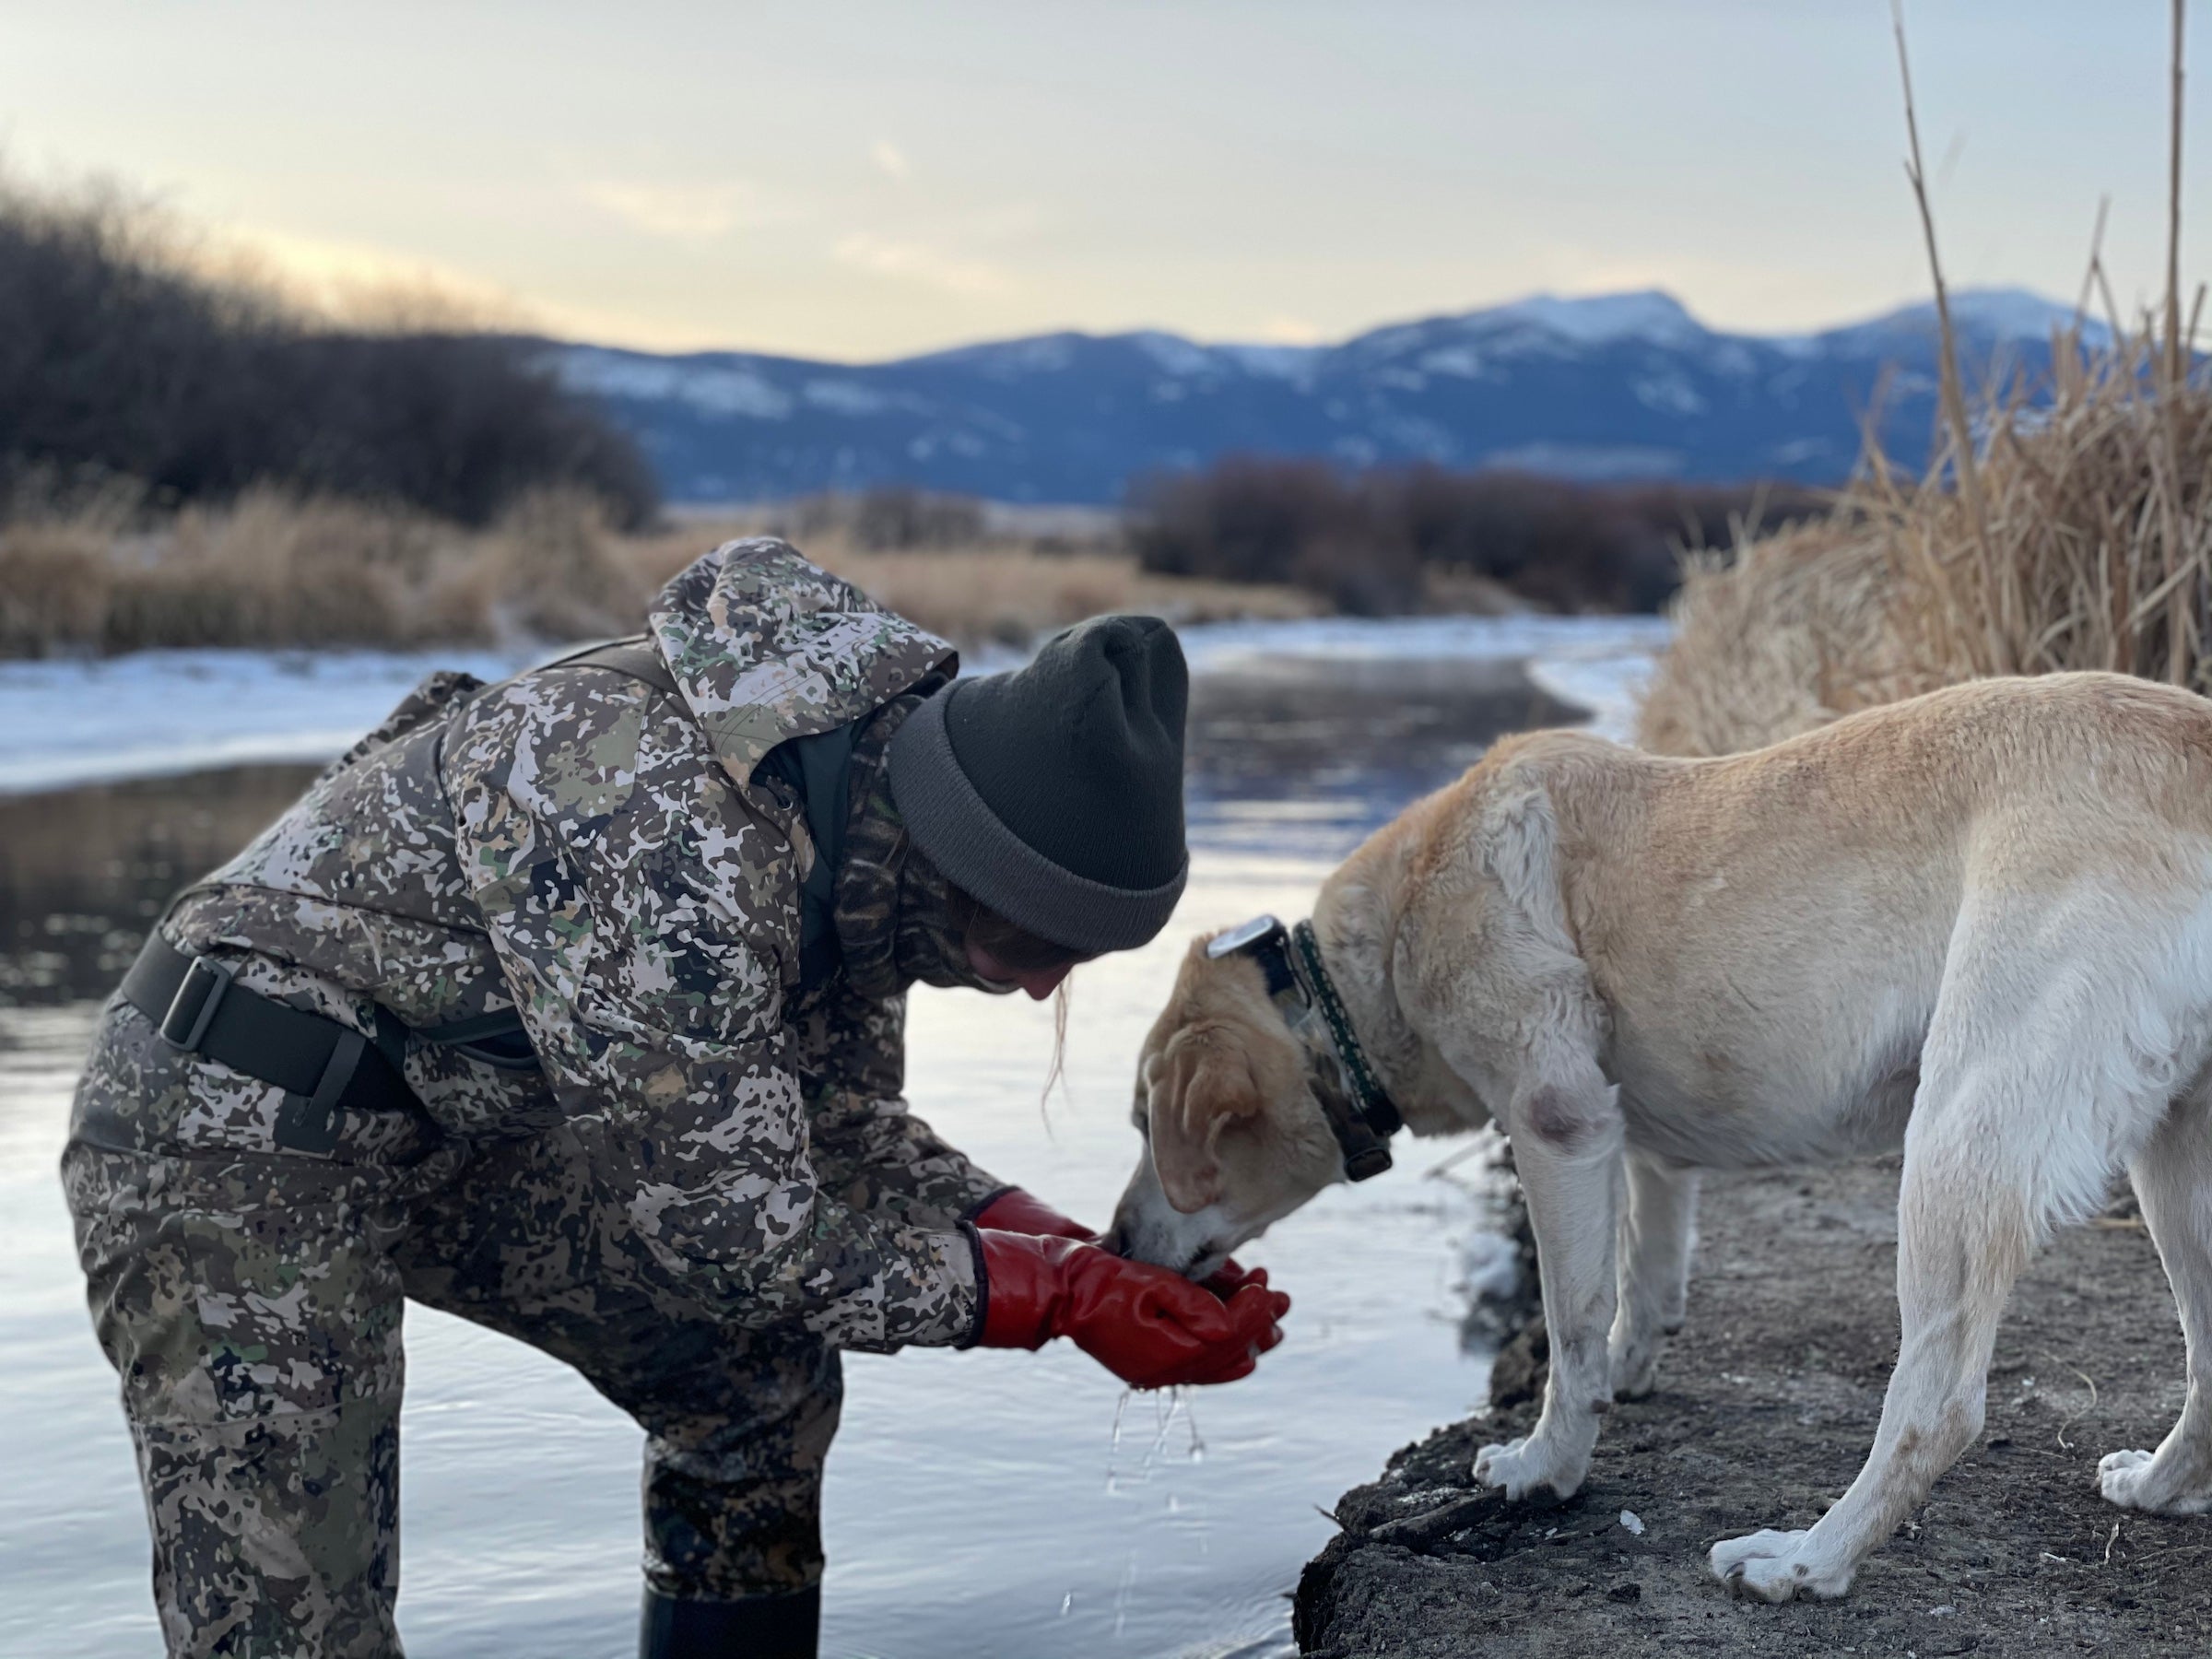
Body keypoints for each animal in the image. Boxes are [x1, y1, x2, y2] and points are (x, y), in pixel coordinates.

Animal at [1106, 667, 2212, 1601]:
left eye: (1147, 1123)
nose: (1116, 1241)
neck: (1359, 973)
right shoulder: (1636, 1139)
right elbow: (1642, 1271)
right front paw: (1631, 1372)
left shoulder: (1555, 1124)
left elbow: (1568, 1318)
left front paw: (1548, 1465)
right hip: (2174, 1172)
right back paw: (2157, 1487)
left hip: (1958, 1144)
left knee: (1938, 1406)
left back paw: (1808, 1560)